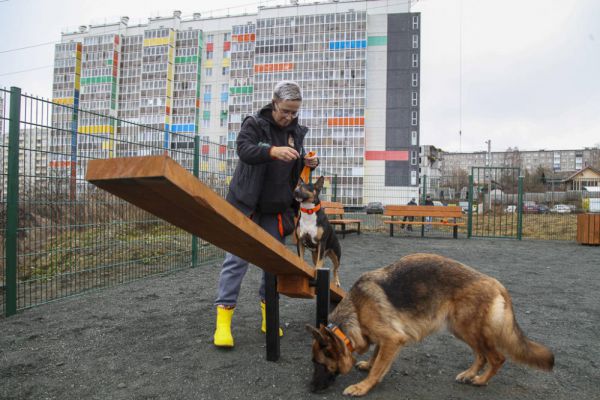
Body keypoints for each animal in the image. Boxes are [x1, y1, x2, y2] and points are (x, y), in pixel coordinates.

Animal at [308, 255, 556, 396]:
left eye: (319, 364)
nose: (311, 390)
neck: (356, 310)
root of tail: (496, 283)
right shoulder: (385, 338)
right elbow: (376, 355)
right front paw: (368, 364)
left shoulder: (392, 339)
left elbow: (379, 366)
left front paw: (363, 386)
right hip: (461, 329)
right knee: (481, 356)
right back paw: (469, 374)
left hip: (469, 329)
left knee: (497, 358)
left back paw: (480, 380)